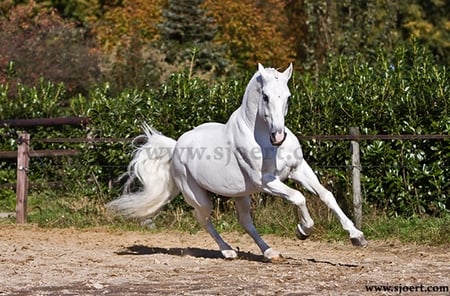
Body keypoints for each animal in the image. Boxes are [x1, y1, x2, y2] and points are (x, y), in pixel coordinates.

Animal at [107, 63, 368, 260]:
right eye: (265, 97)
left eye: (288, 97)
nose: (278, 136)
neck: (264, 140)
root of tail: (176, 146)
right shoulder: (266, 182)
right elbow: (298, 197)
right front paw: (304, 230)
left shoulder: (298, 169)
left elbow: (326, 195)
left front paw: (357, 236)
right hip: (198, 196)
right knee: (203, 219)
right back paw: (228, 251)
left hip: (240, 194)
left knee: (245, 222)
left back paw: (270, 252)